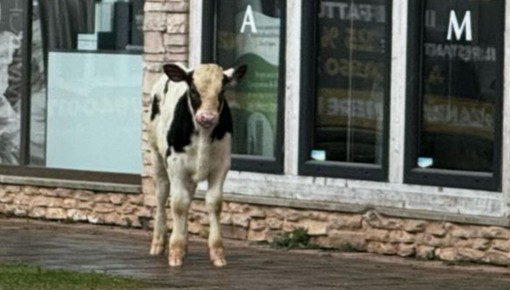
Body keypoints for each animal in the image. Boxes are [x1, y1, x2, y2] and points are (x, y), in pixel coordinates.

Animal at [147, 63, 247, 268]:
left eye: (222, 91)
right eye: (193, 90)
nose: (207, 117)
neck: (202, 134)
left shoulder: (221, 166)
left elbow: (214, 203)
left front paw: (217, 253)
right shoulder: (176, 166)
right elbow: (178, 204)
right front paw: (175, 251)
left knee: (188, 197)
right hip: (156, 156)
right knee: (162, 196)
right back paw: (158, 243)